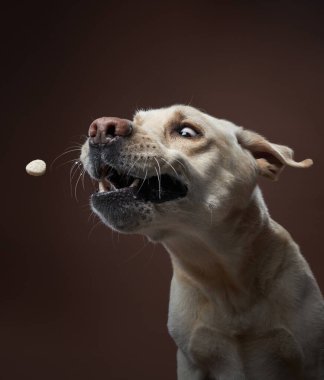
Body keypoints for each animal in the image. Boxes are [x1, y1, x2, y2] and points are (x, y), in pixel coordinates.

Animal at [79, 104, 324, 380]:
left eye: (187, 132)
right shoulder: (191, 364)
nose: (100, 129)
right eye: (138, 120)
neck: (225, 280)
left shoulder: (312, 361)